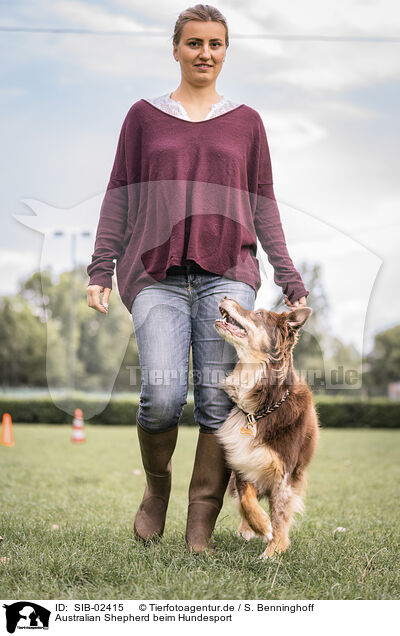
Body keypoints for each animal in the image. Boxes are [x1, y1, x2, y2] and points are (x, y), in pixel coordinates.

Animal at [214, 296, 320, 560]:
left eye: (259, 314)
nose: (225, 296)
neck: (262, 406)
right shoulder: (242, 458)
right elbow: (246, 500)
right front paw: (261, 526)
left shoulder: (285, 472)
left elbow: (280, 515)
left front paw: (274, 551)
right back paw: (247, 530)